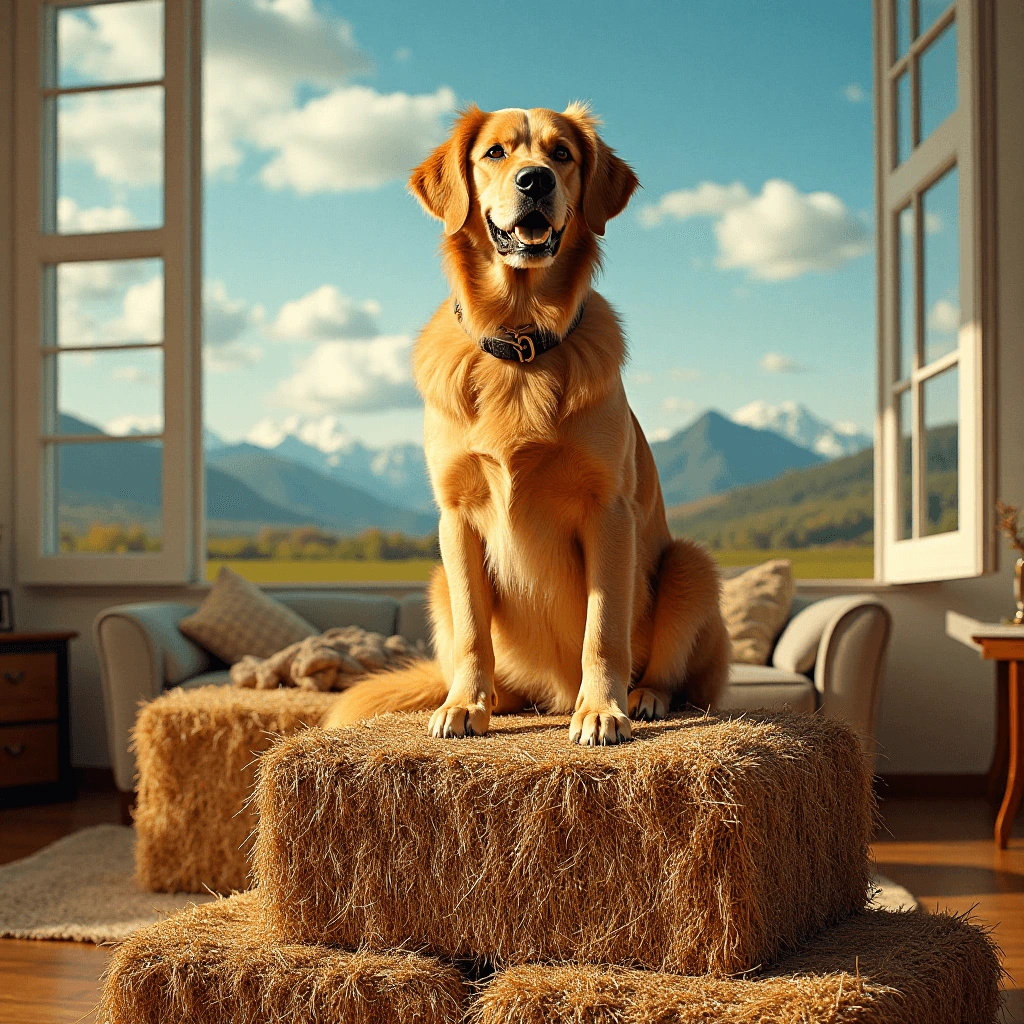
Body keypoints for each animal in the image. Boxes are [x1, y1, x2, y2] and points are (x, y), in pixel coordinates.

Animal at [323, 105, 733, 745]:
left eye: (561, 153)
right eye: (495, 152)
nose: (534, 180)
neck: (521, 345)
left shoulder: (608, 511)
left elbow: (602, 628)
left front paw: (603, 710)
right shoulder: (457, 516)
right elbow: (474, 631)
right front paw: (465, 705)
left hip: (690, 565)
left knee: (676, 674)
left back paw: (643, 698)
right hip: (438, 581)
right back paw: (494, 697)